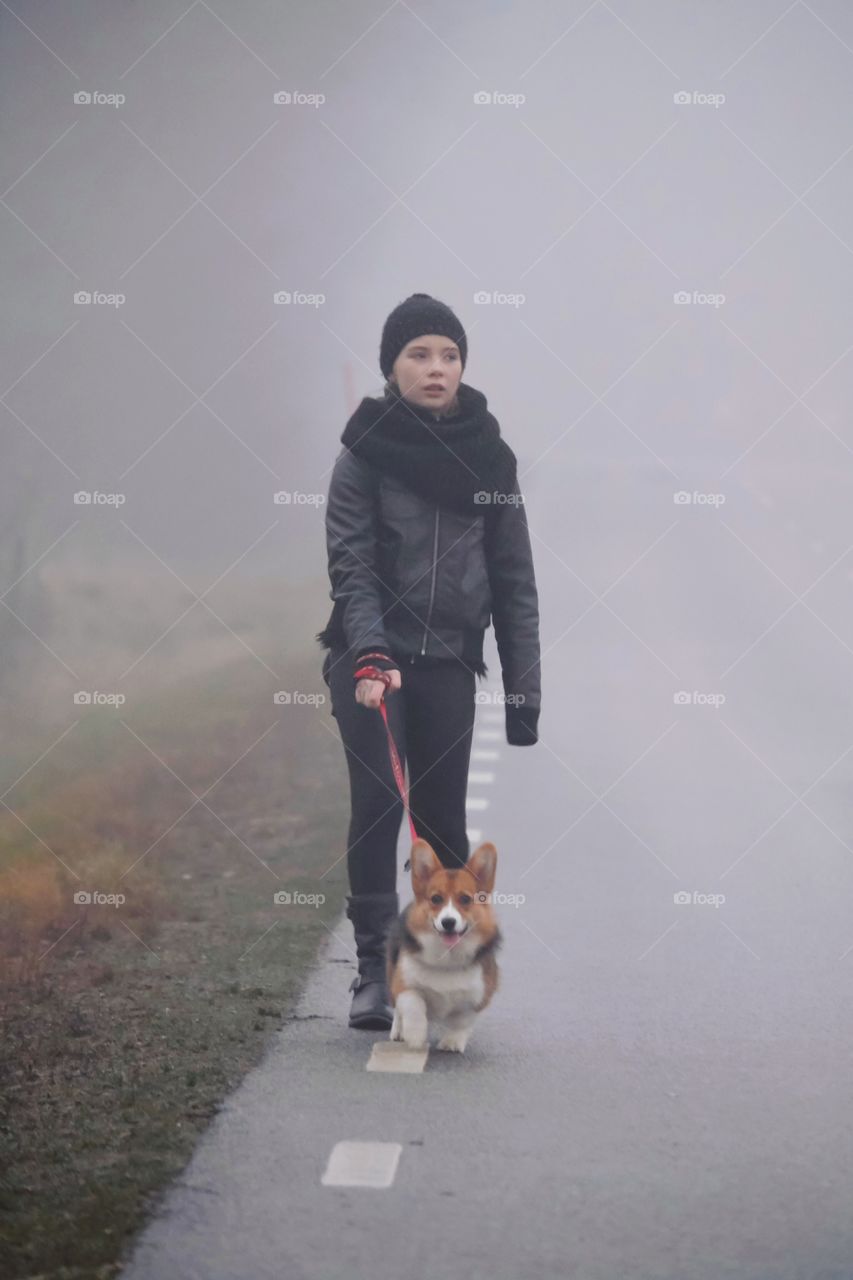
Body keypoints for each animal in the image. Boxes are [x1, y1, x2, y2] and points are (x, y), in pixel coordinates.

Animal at [384, 839, 499, 1049]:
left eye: (465, 899)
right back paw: (398, 1031)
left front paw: (452, 1042)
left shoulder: (478, 995)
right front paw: (414, 1036)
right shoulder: (404, 983)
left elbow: (462, 1019)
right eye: (436, 899)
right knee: (398, 1008)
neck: (447, 956)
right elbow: (413, 1006)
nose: (448, 922)